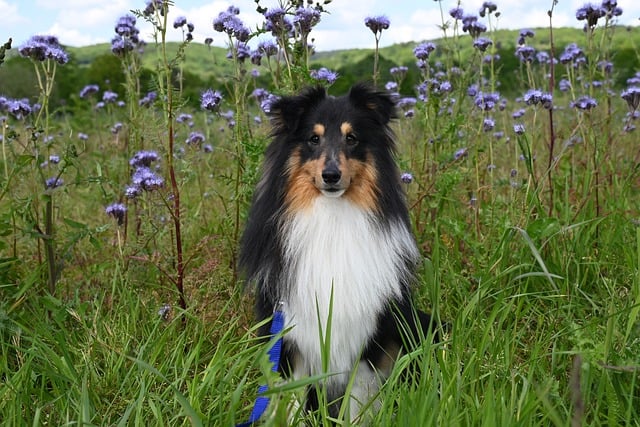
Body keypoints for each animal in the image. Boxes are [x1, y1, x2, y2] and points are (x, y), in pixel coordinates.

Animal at [240, 84, 436, 424]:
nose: (330, 175)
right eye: (313, 139)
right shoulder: (291, 339)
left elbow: (357, 405)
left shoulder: (366, 342)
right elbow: (292, 402)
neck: (332, 219)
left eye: (352, 138)